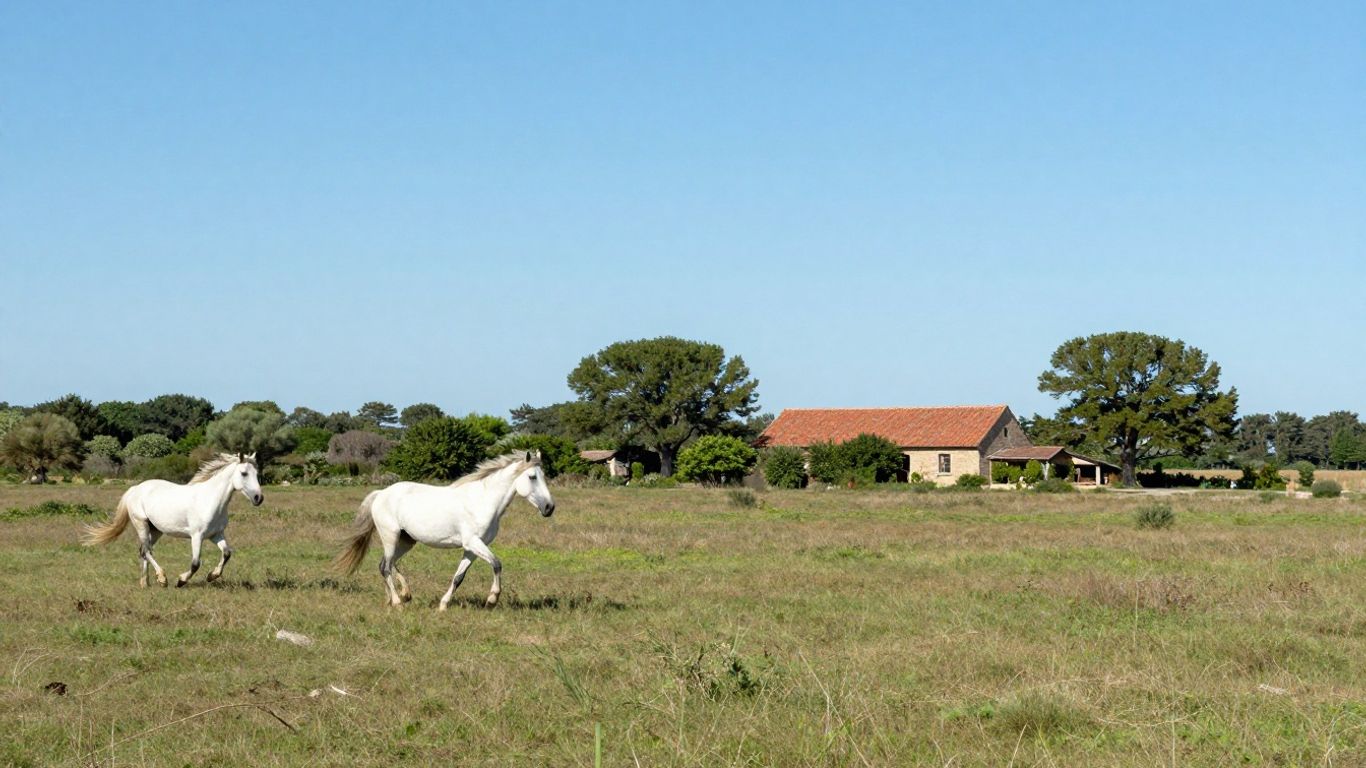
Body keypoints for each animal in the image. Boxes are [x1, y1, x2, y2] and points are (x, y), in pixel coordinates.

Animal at [83, 452, 263, 587]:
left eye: (257, 474)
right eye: (244, 473)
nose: (258, 498)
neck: (211, 500)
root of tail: (135, 488)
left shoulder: (216, 534)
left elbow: (226, 553)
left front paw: (212, 576)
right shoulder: (197, 536)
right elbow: (195, 563)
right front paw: (181, 581)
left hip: (156, 530)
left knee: (144, 551)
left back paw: (146, 583)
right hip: (141, 524)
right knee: (146, 551)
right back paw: (162, 579)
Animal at [335, 451, 555, 609]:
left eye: (544, 476)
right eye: (532, 477)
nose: (549, 508)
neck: (482, 502)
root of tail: (381, 493)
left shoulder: (472, 548)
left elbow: (459, 577)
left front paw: (443, 605)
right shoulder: (473, 542)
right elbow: (497, 564)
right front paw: (492, 599)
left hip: (407, 540)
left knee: (388, 564)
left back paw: (400, 596)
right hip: (390, 536)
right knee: (385, 567)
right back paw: (397, 602)